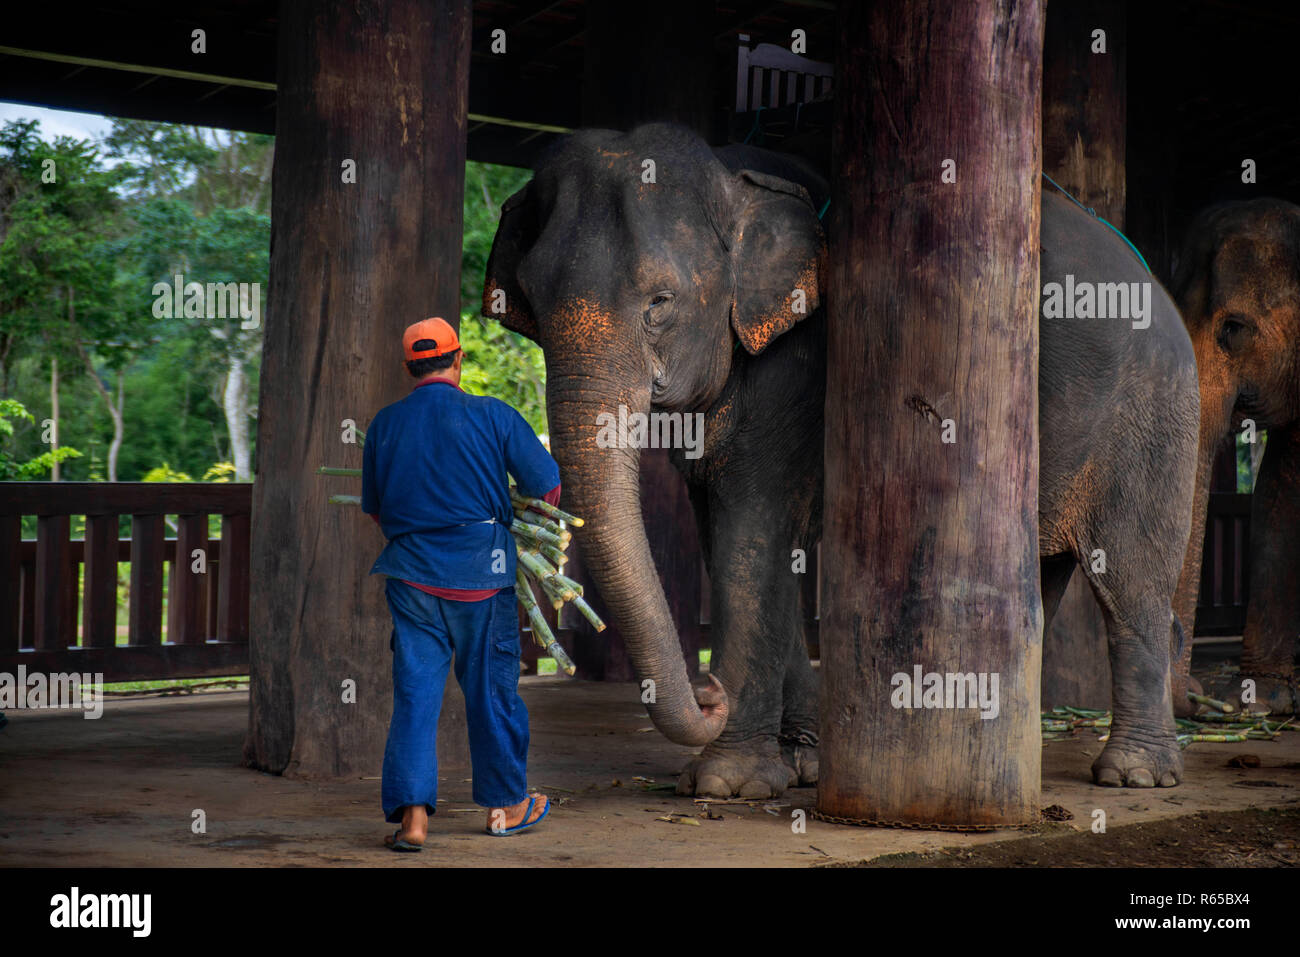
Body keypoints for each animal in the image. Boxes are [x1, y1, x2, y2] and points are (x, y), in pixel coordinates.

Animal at [486, 123, 1196, 795]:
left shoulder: (801, 365)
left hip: (1153, 415)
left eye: (659, 302)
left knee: (1130, 581)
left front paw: (727, 783)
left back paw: (1135, 774)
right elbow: (733, 539)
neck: (732, 176)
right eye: (531, 302)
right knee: (1040, 582)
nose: (708, 691)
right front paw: (799, 764)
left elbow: (750, 534)